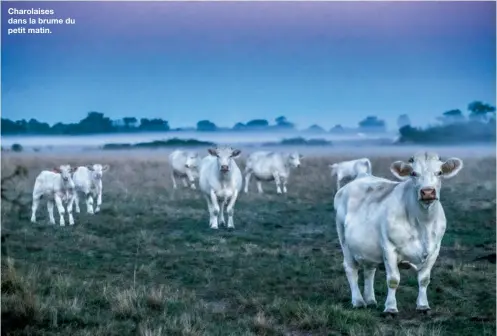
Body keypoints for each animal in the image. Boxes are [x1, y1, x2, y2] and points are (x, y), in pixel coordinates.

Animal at [332, 152, 464, 316]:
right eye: (413, 173)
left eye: (439, 172)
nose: (427, 192)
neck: (423, 224)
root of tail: (362, 176)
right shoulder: (389, 248)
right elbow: (393, 280)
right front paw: (390, 308)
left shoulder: (434, 250)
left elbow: (424, 279)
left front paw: (423, 305)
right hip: (344, 240)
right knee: (351, 269)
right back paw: (358, 301)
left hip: (368, 247)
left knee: (369, 270)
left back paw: (370, 300)